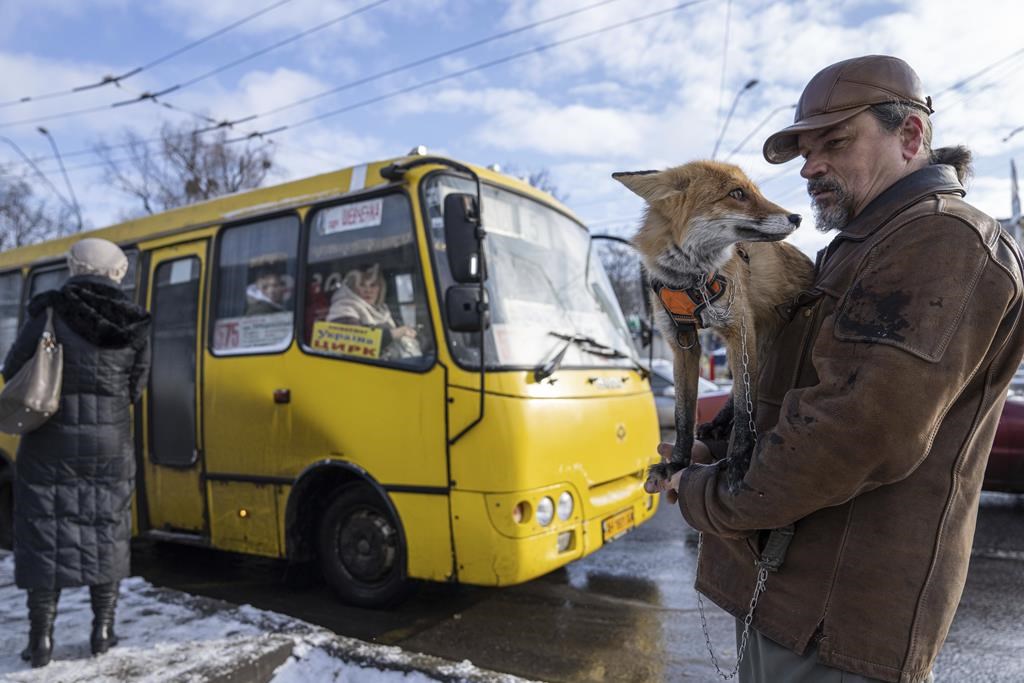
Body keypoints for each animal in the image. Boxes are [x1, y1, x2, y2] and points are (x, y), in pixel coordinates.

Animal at [614, 162, 815, 493]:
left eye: (754, 191)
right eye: (737, 194)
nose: (797, 218)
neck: (690, 279)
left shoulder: (738, 330)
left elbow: (746, 407)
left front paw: (740, 462)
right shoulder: (681, 343)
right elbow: (683, 416)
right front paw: (676, 464)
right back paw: (718, 424)